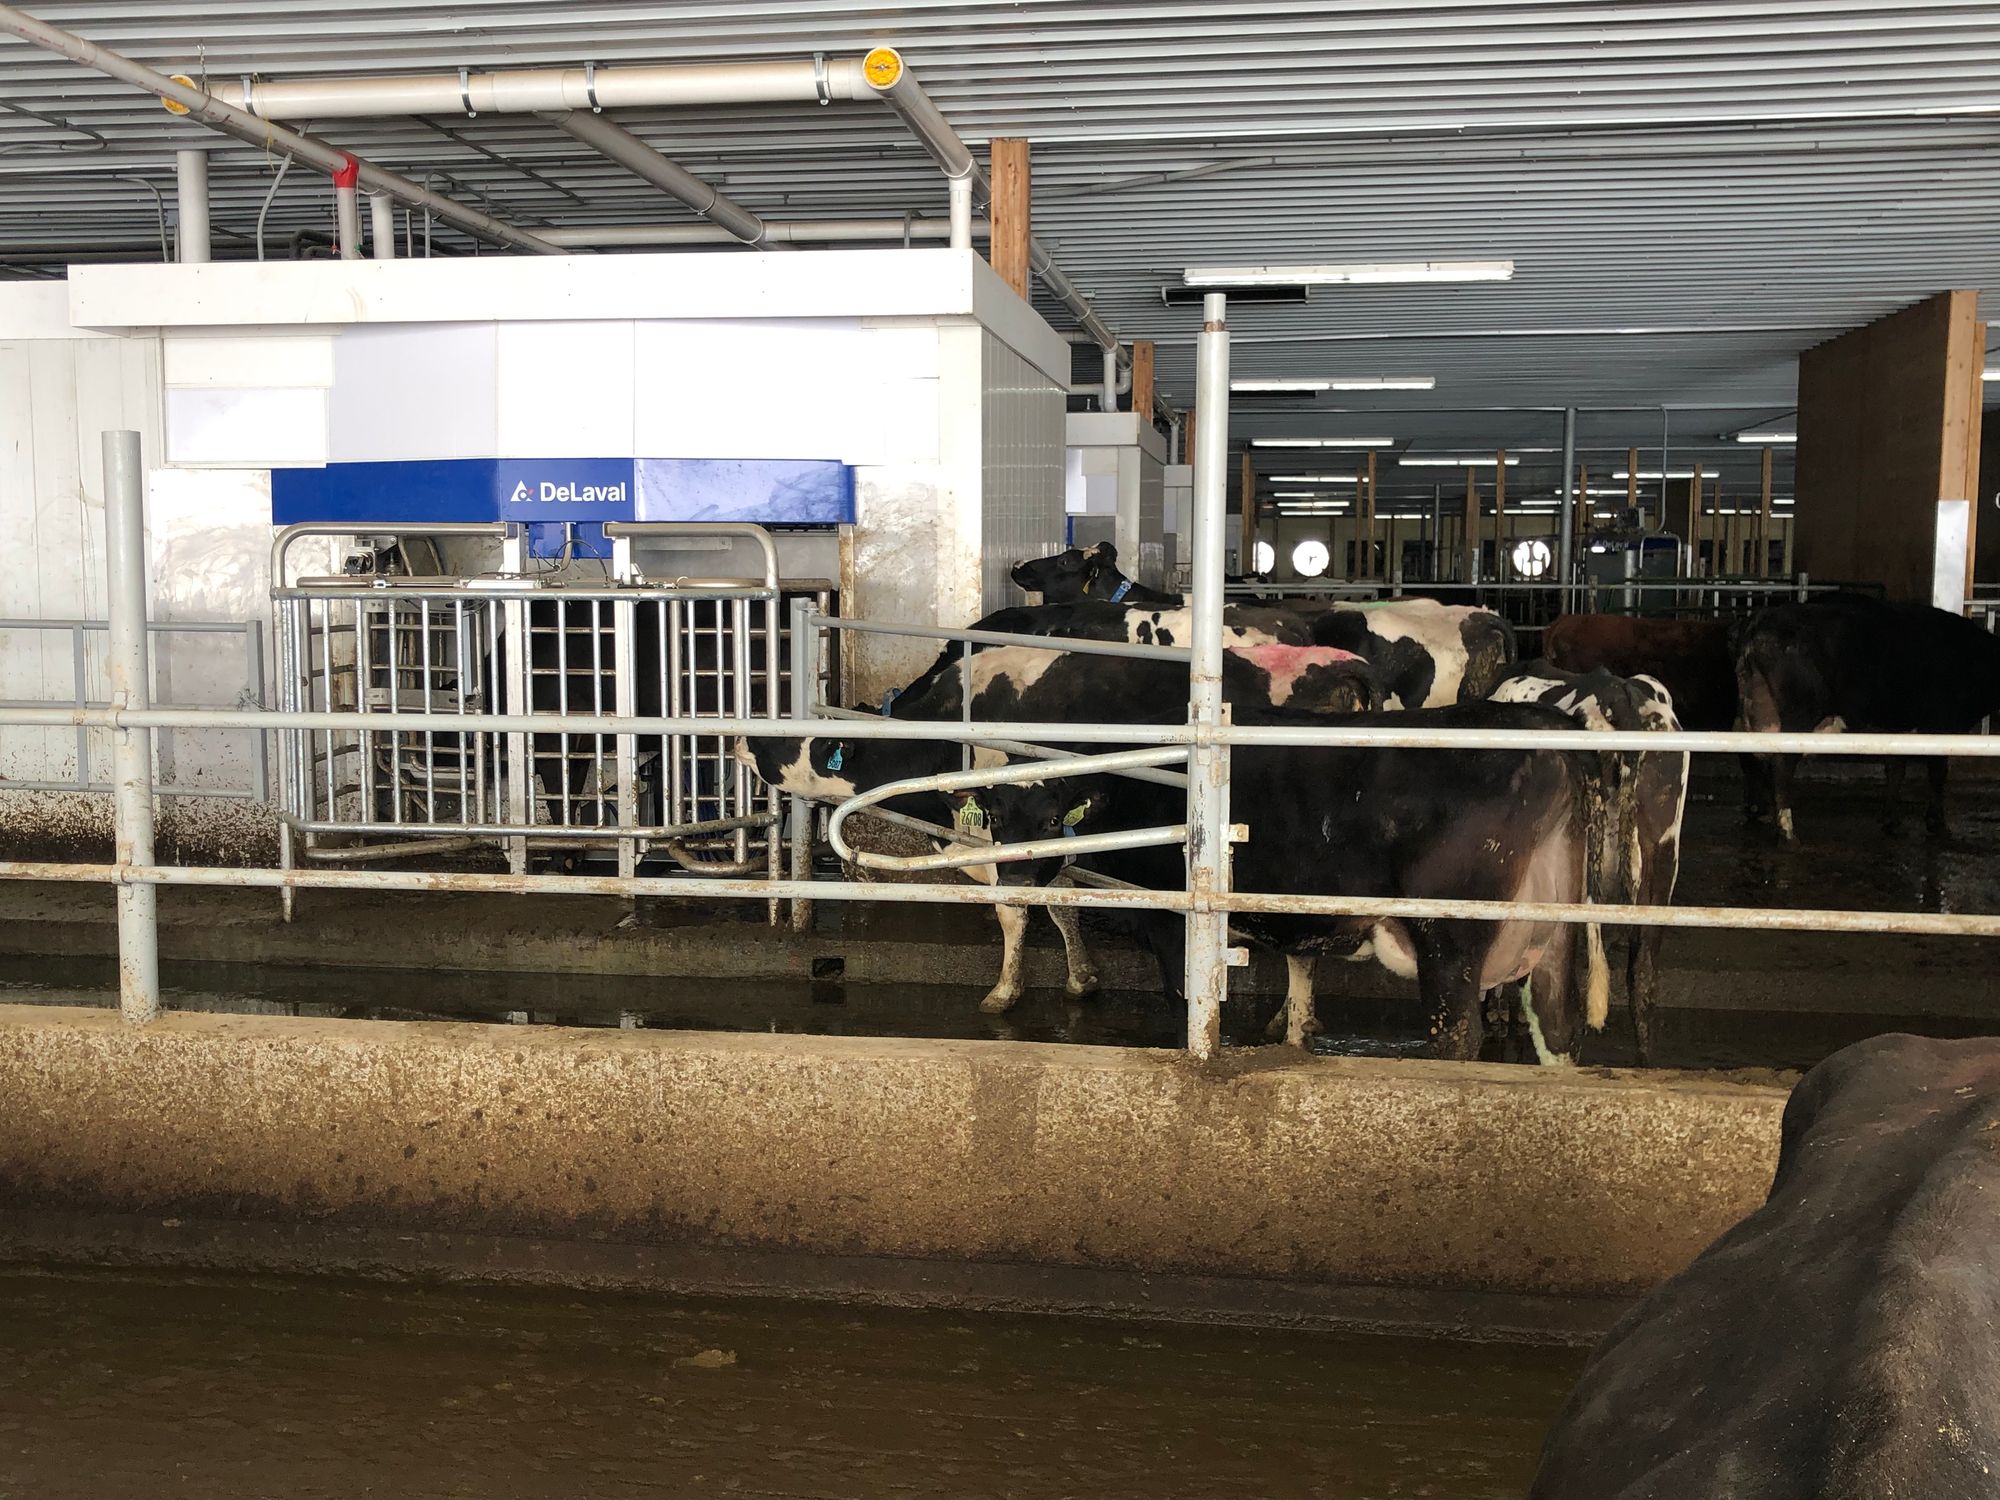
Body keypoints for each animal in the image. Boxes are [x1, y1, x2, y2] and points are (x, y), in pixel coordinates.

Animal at [736, 644, 1376, 1014]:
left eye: (798, 740)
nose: (742, 737)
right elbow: (1062, 905)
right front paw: (1081, 976)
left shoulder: (1012, 829)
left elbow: (1015, 911)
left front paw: (1004, 991)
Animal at [951, 701, 1612, 1062]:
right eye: (996, 818)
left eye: (1052, 820)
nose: (1013, 879)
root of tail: (1546, 728)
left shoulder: (1170, 922)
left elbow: (1186, 1001)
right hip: (1555, 928)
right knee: (1558, 1028)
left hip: (1448, 931)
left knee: (1455, 1033)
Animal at [1734, 594, 2000, 839]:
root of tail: (1764, 617)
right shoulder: (1942, 724)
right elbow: (1937, 773)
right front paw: (1937, 824)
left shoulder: (1897, 729)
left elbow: (1896, 769)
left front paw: (1892, 821)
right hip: (1798, 715)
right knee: (1782, 762)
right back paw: (1787, 830)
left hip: (1755, 710)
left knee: (1752, 753)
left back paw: (1758, 809)